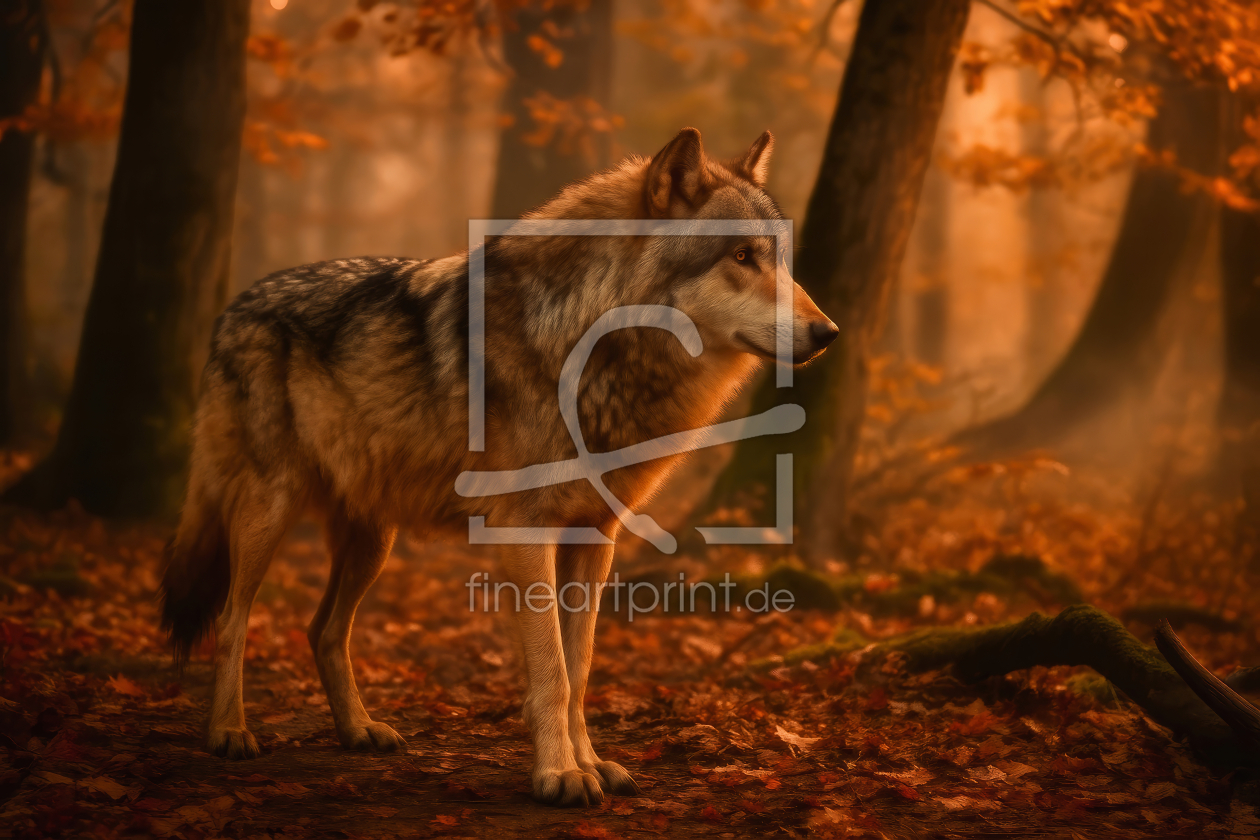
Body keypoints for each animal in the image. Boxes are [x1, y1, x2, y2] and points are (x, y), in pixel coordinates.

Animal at [160, 127, 838, 807]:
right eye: (743, 256)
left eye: (783, 261)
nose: (828, 332)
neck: (589, 338)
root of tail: (236, 304)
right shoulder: (526, 531)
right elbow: (553, 671)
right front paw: (560, 774)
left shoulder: (596, 538)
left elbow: (580, 667)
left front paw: (590, 763)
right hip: (269, 513)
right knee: (232, 620)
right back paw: (229, 730)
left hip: (374, 540)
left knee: (323, 630)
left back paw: (358, 729)